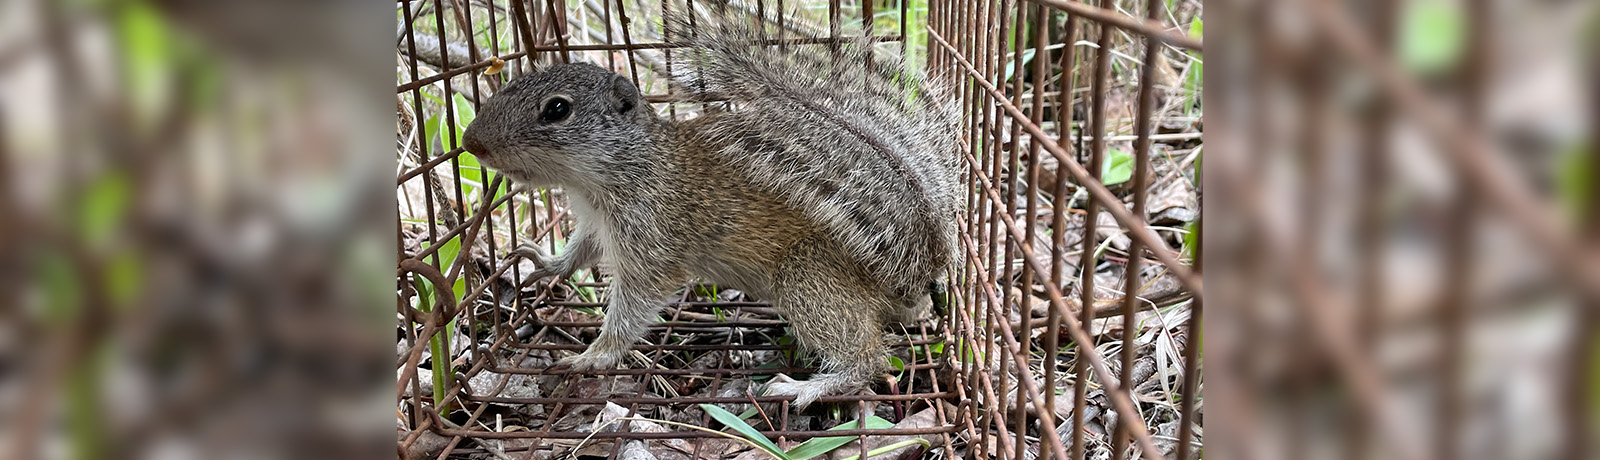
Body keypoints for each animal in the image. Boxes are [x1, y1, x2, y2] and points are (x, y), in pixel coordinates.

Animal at [464, 5, 960, 404]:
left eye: (557, 110)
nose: (471, 143)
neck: (612, 175)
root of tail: (916, 269)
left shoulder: (651, 237)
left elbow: (635, 303)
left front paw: (595, 355)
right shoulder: (594, 223)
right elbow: (579, 252)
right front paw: (545, 262)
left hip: (807, 275)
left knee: (867, 359)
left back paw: (807, 388)